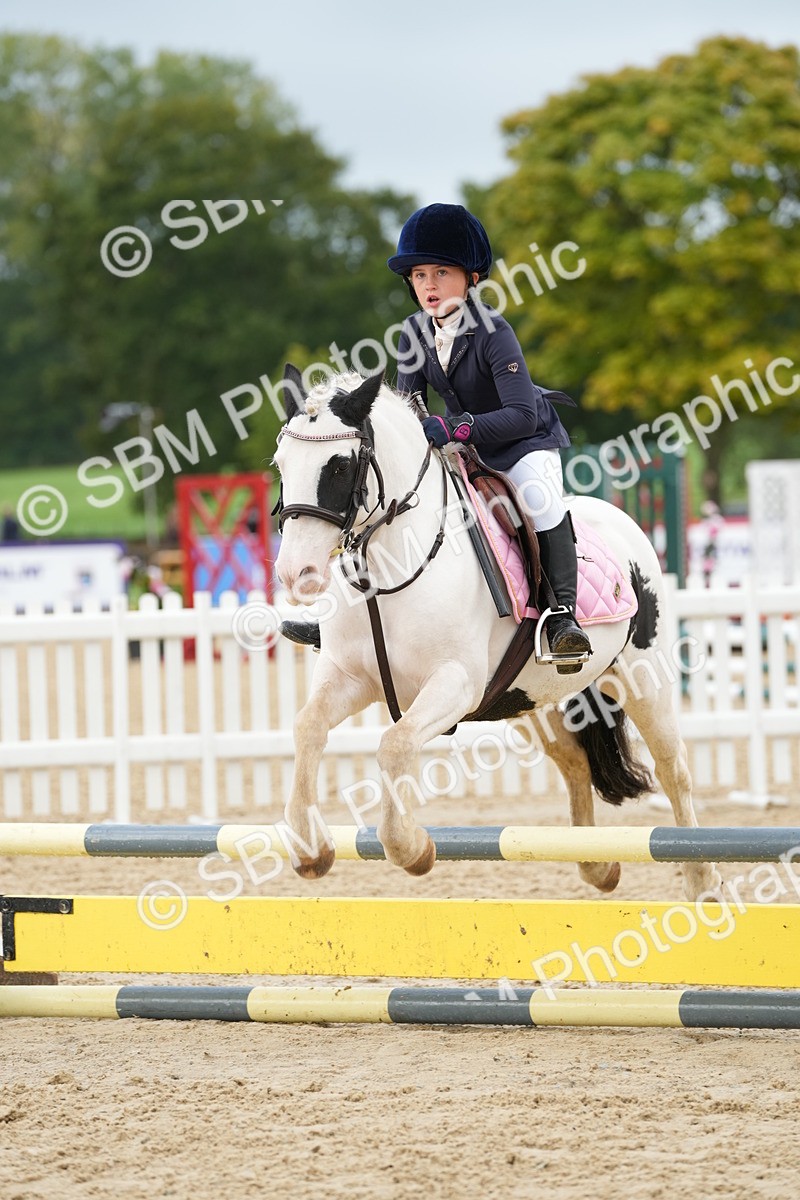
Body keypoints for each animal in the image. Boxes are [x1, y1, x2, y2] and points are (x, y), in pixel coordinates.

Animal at [272, 366, 721, 901]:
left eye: (339, 468)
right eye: (281, 463)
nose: (295, 574)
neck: (390, 564)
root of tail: (621, 520)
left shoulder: (455, 683)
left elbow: (396, 744)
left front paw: (413, 849)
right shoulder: (348, 676)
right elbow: (308, 727)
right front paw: (310, 850)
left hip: (640, 679)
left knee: (674, 770)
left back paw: (702, 883)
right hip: (526, 695)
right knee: (574, 760)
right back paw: (598, 865)